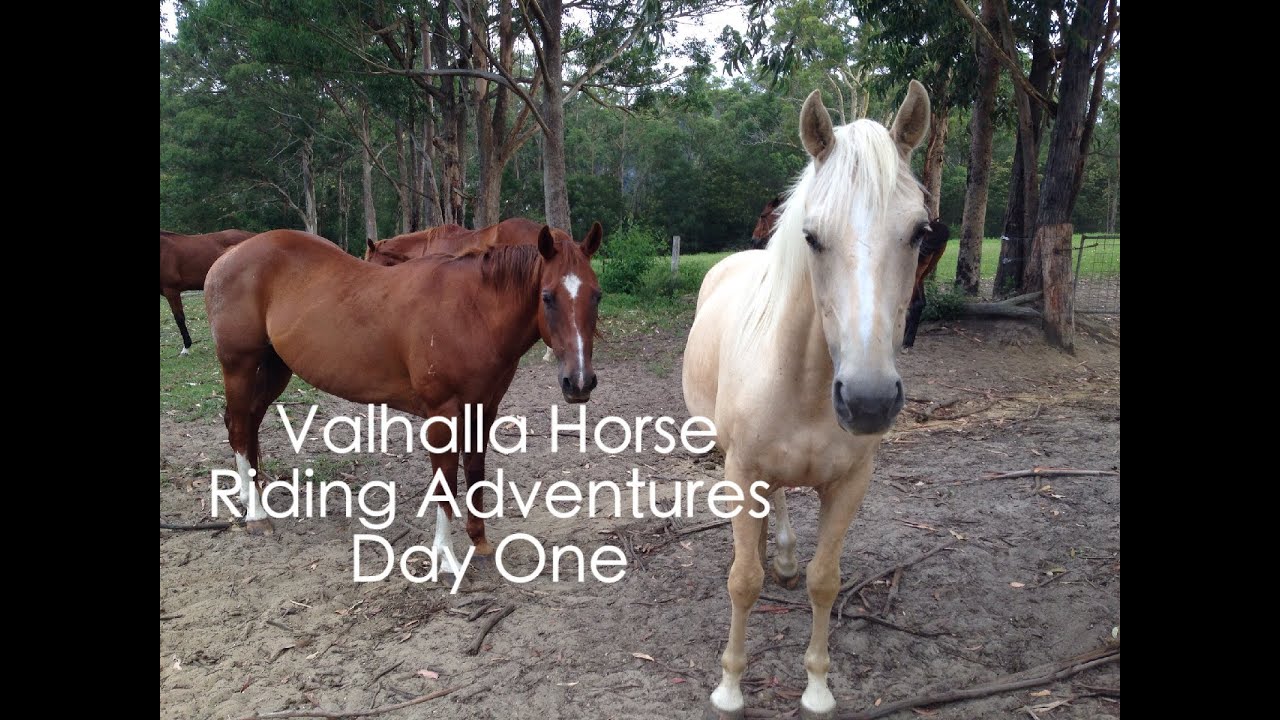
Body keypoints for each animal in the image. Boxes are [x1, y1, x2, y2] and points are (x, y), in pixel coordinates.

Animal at [204, 223, 603, 571]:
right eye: (547, 297)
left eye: (596, 296)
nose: (579, 382)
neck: (472, 311)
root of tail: (229, 257)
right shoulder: (443, 415)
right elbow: (446, 483)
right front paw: (445, 557)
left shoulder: (483, 409)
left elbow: (475, 471)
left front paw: (479, 541)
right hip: (240, 366)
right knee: (239, 426)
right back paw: (257, 515)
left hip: (275, 367)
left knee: (248, 424)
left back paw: (251, 494)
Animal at [681, 81, 932, 719]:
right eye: (813, 237)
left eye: (920, 232)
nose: (868, 401)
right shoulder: (741, 469)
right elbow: (743, 579)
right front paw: (730, 687)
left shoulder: (849, 484)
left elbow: (826, 579)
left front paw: (818, 687)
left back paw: (788, 559)